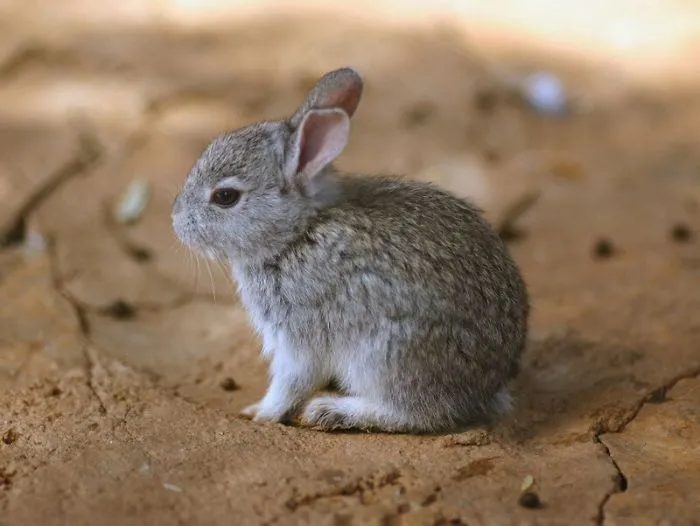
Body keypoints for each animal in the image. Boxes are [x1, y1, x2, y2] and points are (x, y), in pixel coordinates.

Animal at [171, 67, 529, 433]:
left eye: (225, 197)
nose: (177, 220)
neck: (297, 233)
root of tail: (488, 385)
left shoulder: (300, 335)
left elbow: (291, 382)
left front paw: (261, 413)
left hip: (385, 354)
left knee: (417, 413)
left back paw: (332, 411)